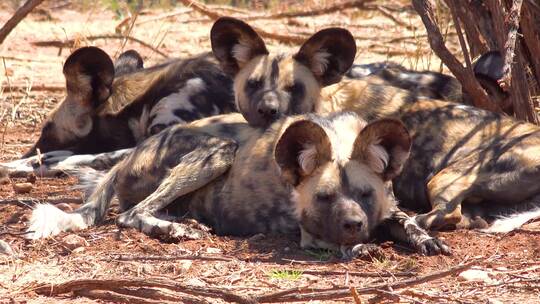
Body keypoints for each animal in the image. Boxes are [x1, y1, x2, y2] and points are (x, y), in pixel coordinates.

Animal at [25, 110, 450, 258]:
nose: (353, 225)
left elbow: (409, 223)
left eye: (365, 195)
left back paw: (186, 222)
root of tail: (130, 154)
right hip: (218, 150)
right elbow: (336, 243)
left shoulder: (389, 209)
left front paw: (426, 240)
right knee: (130, 215)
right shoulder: (309, 233)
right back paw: (174, 229)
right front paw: (360, 248)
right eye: (324, 197)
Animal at [208, 16, 540, 233]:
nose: (269, 110)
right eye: (253, 84)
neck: (328, 102)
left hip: (447, 177)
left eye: (294, 88)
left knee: (446, 216)